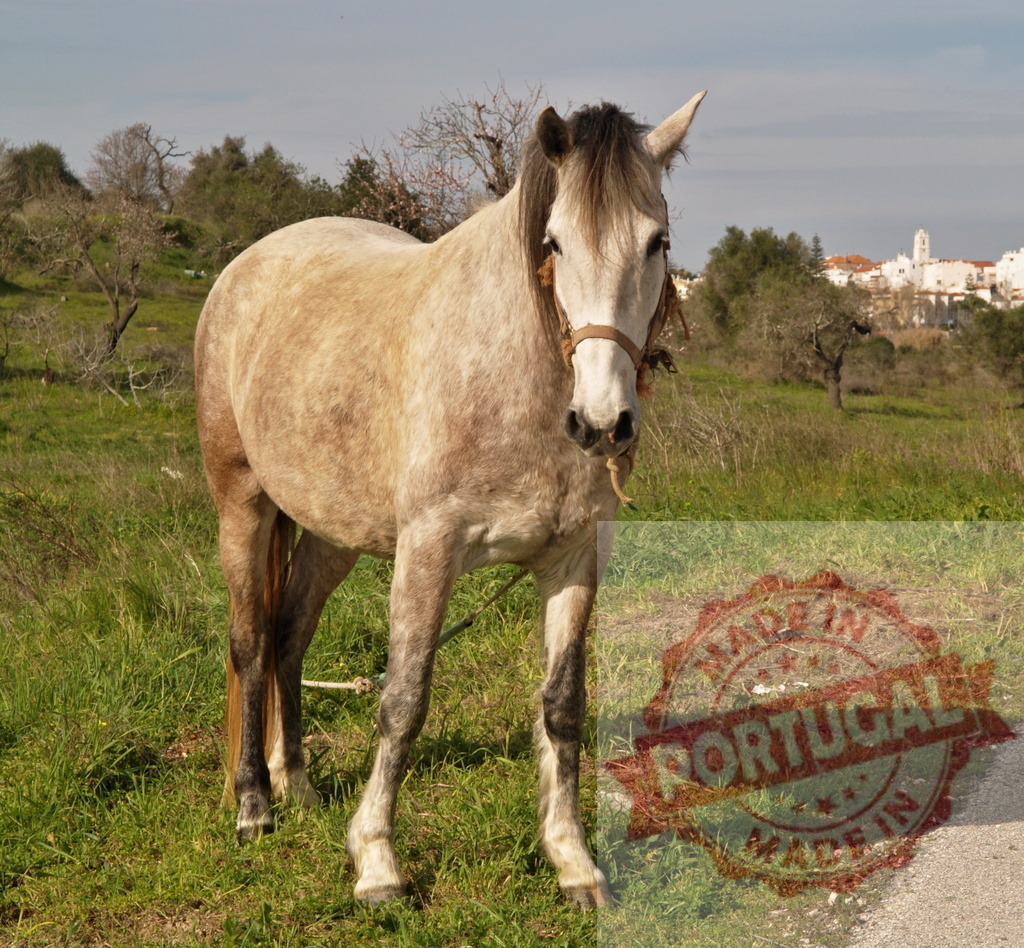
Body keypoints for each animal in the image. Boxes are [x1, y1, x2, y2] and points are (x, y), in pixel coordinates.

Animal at [194, 91, 706, 908]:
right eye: (555, 243)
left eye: (657, 242)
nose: (601, 424)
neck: (514, 379)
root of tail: (245, 266)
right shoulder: (427, 554)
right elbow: (403, 702)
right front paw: (376, 862)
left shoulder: (572, 561)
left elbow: (563, 707)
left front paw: (573, 861)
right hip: (242, 506)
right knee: (249, 645)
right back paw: (254, 805)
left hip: (332, 533)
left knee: (290, 635)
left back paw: (297, 785)